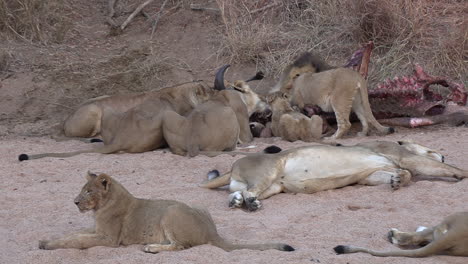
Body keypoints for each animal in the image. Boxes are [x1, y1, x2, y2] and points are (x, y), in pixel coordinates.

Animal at [38, 172, 292, 253]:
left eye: (89, 191)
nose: (75, 202)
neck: (101, 208)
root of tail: (212, 232)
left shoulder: (108, 238)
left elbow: (78, 241)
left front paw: (48, 245)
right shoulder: (96, 228)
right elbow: (74, 235)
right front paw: (46, 240)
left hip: (170, 212)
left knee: (180, 246)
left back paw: (151, 248)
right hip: (197, 207)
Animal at [199, 141, 466, 211]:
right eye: (431, 149)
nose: (442, 154)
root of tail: (233, 165)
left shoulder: (372, 174)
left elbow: (403, 174)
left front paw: (398, 180)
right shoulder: (403, 155)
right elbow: (443, 168)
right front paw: (460, 171)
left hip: (273, 187)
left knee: (241, 191)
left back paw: (240, 202)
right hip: (270, 170)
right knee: (249, 191)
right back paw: (249, 204)